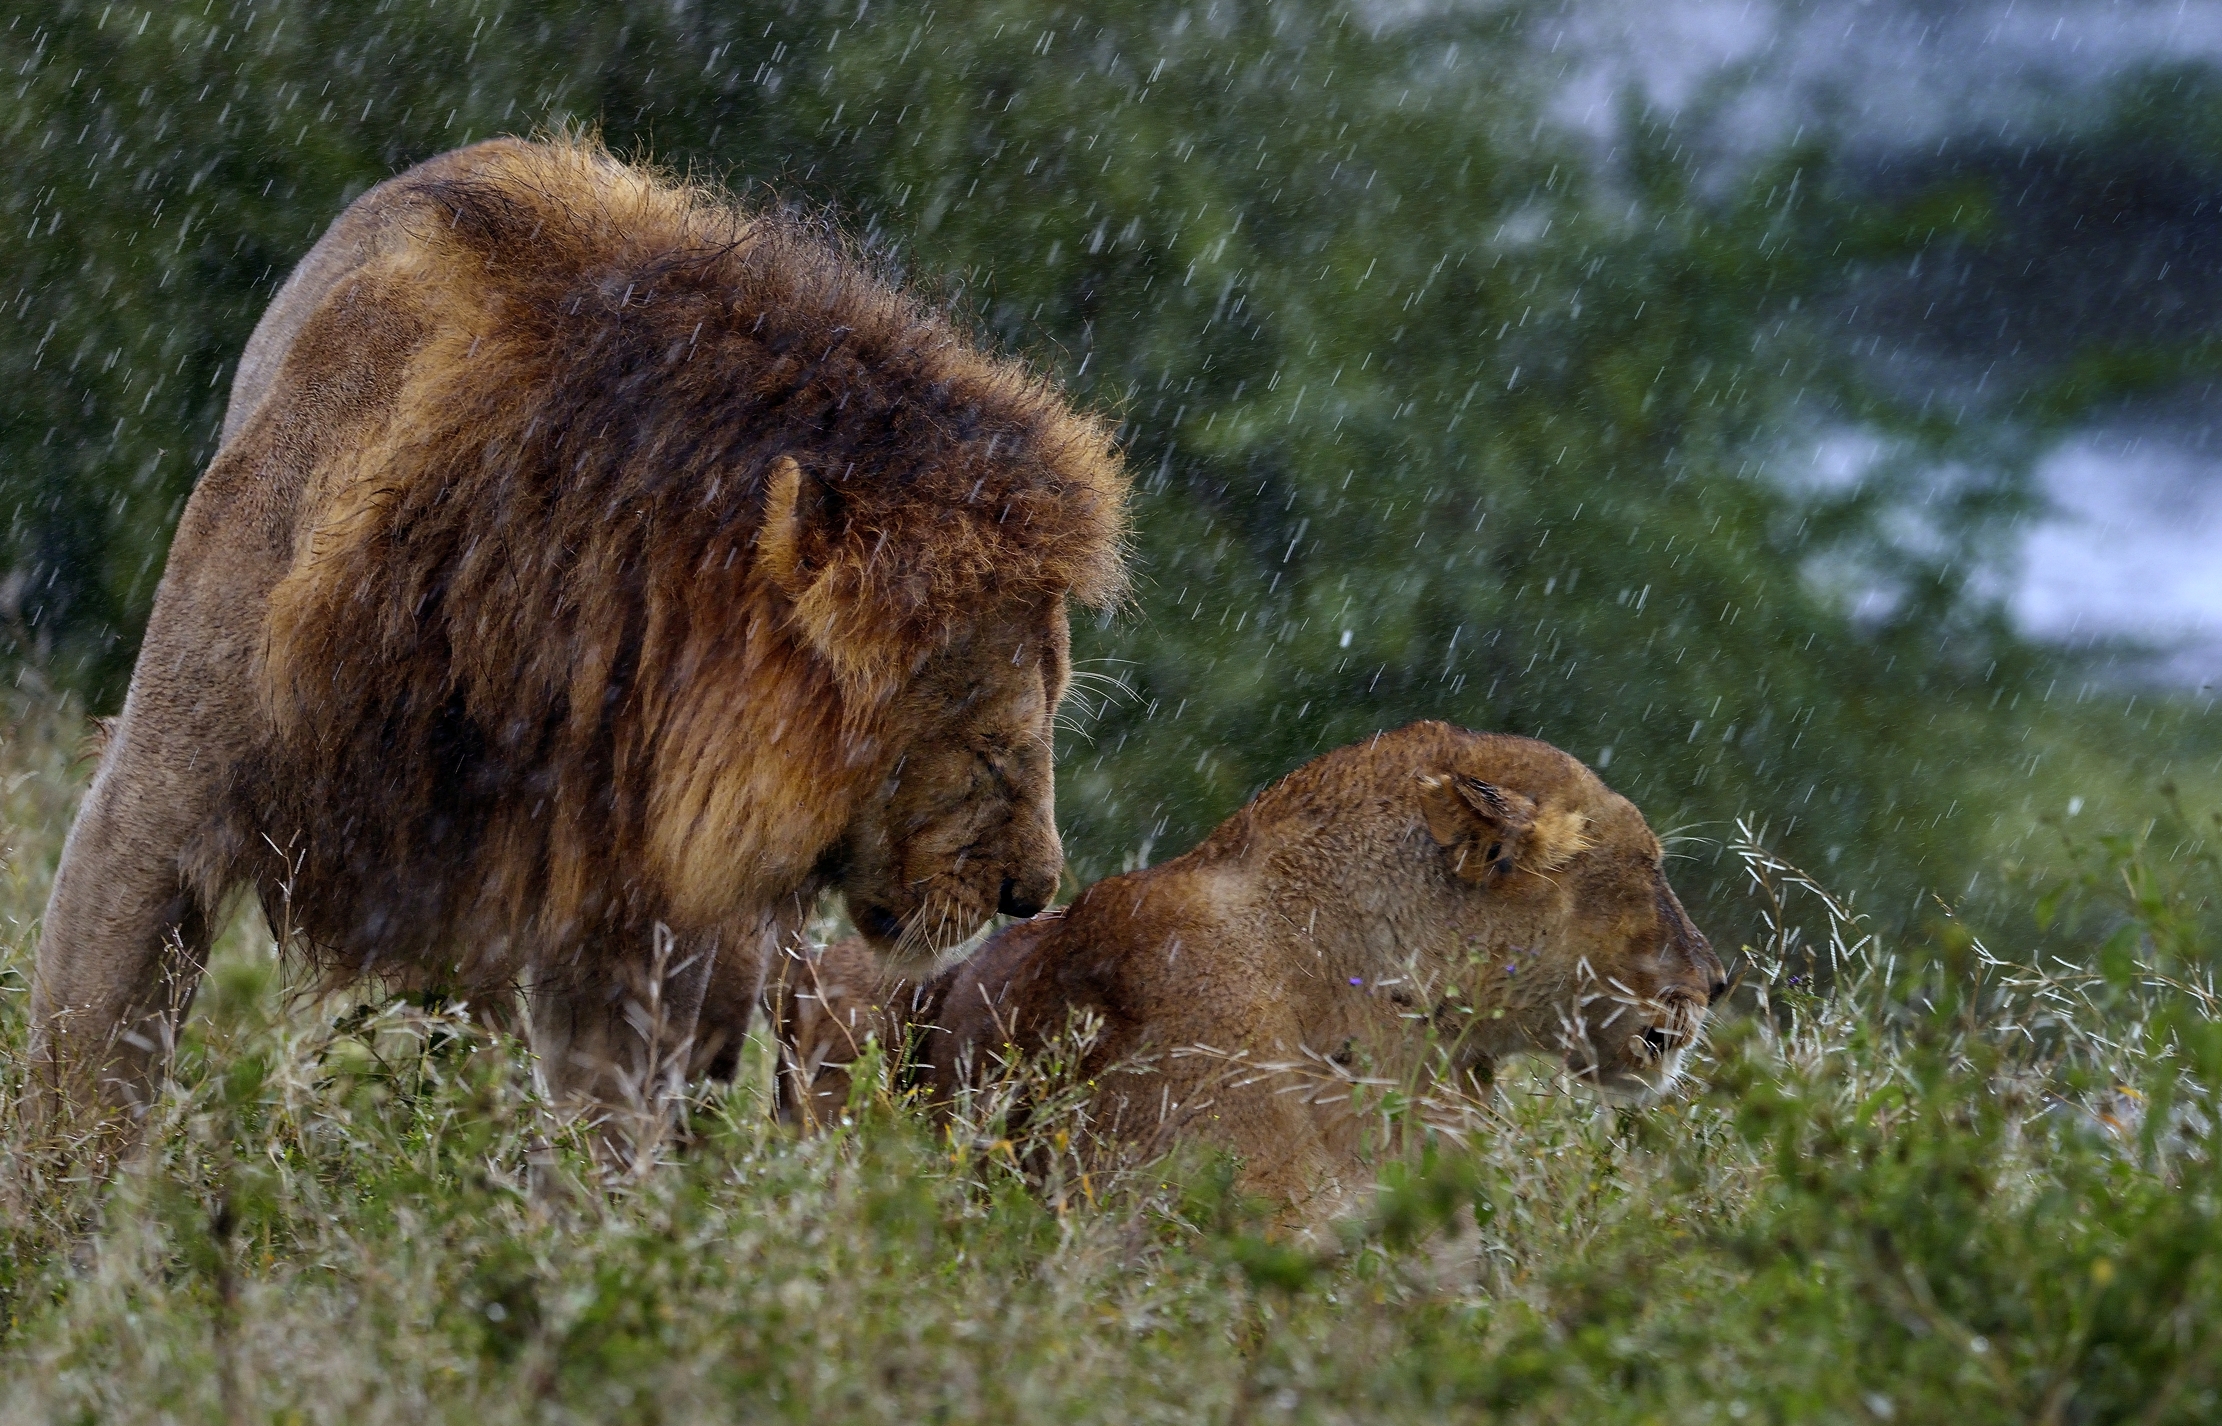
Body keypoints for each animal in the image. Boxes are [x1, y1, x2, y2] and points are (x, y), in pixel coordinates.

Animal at [30, 135, 1126, 1135]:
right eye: (989, 748)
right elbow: (85, 1070)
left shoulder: (629, 922)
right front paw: (81, 1223)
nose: (1034, 893)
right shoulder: (158, 800)